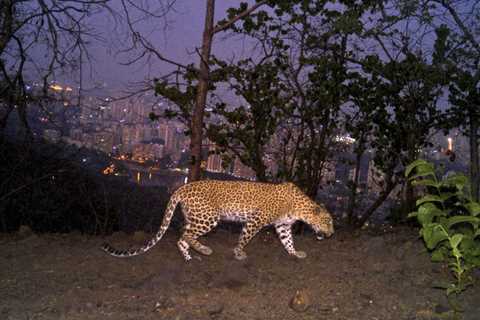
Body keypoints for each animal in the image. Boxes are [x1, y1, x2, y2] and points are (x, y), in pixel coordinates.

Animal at [101, 180, 334, 260]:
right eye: (329, 222)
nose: (332, 234)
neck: (299, 208)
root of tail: (181, 188)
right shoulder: (255, 220)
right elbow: (245, 238)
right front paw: (239, 253)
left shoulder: (283, 225)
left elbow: (287, 241)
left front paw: (295, 253)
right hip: (209, 218)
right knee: (185, 234)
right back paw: (204, 249)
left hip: (195, 217)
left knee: (182, 237)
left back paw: (189, 257)